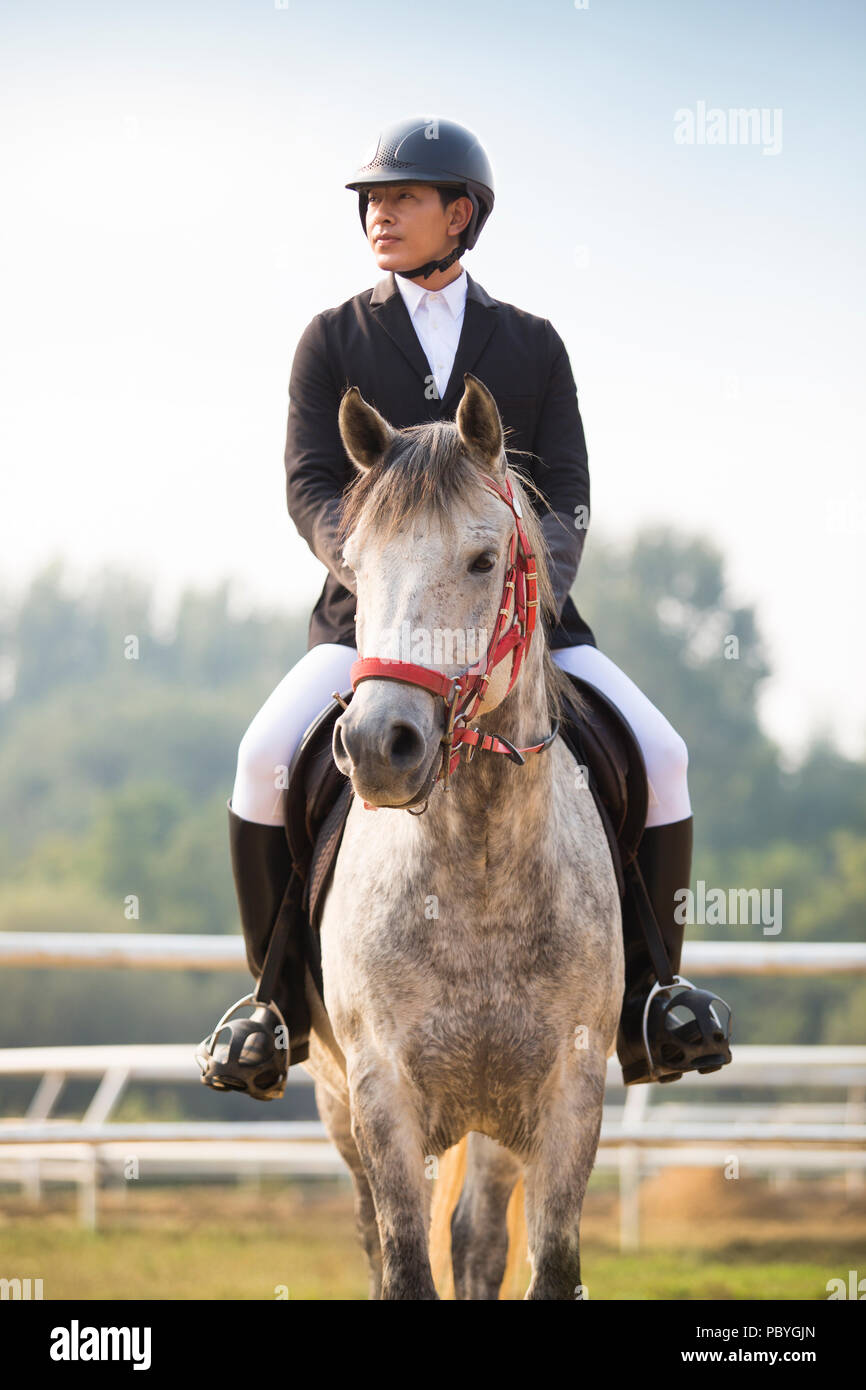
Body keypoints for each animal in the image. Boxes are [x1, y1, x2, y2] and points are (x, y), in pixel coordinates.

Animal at [299, 373, 623, 1300]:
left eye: (482, 562)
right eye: (354, 563)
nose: (380, 744)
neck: (476, 867)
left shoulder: (569, 1095)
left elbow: (549, 1267)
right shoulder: (381, 1093)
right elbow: (405, 1265)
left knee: (478, 1237)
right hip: (338, 1100)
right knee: (379, 1237)